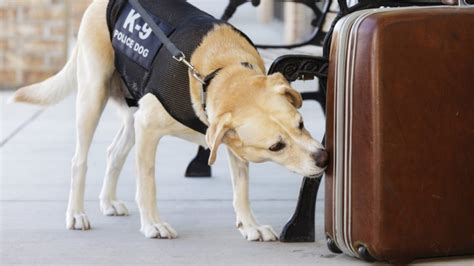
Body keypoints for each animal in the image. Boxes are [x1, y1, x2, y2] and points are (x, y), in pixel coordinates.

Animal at [12, 0, 330, 241]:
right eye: (277, 146)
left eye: (301, 124)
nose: (324, 158)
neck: (217, 74)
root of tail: (99, 3)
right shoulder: (148, 128)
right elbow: (147, 183)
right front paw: (153, 223)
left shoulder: (232, 145)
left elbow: (242, 189)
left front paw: (249, 225)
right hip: (93, 96)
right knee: (79, 161)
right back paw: (77, 214)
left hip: (131, 117)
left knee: (114, 152)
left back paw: (108, 201)